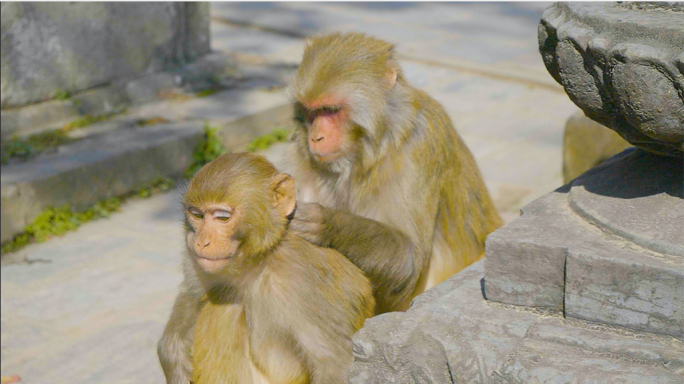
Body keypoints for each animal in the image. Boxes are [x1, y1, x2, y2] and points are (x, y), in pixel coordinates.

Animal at [158, 153, 374, 384]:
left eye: (222, 217)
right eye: (197, 215)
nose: (201, 241)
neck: (258, 261)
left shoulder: (301, 282)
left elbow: (334, 366)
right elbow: (191, 294)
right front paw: (172, 356)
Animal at [288, 32, 502, 316]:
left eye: (330, 110)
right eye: (311, 112)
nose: (316, 138)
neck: (369, 149)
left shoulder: (418, 144)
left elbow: (411, 259)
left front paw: (326, 223)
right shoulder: (301, 153)